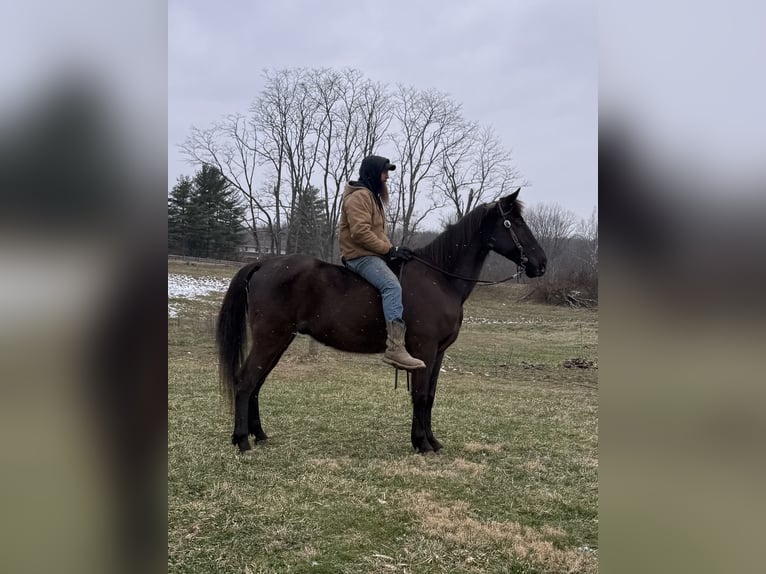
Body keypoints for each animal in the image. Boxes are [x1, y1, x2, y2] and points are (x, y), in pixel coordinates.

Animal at [216, 189, 546, 454]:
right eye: (514, 223)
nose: (541, 264)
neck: (439, 278)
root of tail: (262, 263)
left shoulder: (438, 353)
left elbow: (430, 396)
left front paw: (432, 441)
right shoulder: (424, 350)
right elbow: (421, 396)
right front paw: (422, 444)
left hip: (279, 340)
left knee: (257, 383)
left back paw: (259, 435)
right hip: (270, 337)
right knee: (245, 382)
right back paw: (242, 441)